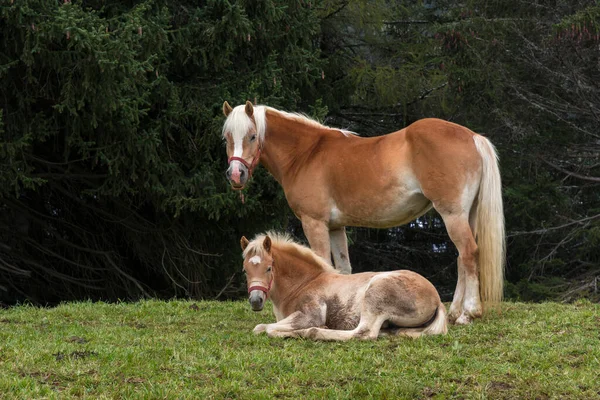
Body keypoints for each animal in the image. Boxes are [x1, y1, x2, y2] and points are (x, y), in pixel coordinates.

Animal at [223, 100, 504, 324]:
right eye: (226, 138)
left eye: (252, 136)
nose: (236, 175)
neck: (306, 154)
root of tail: (472, 136)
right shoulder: (336, 227)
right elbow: (342, 269)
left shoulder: (315, 223)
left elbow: (321, 262)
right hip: (465, 216)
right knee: (461, 257)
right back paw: (456, 311)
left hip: (452, 214)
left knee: (469, 253)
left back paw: (469, 313)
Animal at [239, 231, 446, 340]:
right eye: (245, 270)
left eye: (268, 268)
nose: (255, 301)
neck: (304, 283)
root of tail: (437, 299)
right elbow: (262, 327)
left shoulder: (310, 315)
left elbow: (266, 328)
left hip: (375, 294)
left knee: (364, 333)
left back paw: (312, 332)